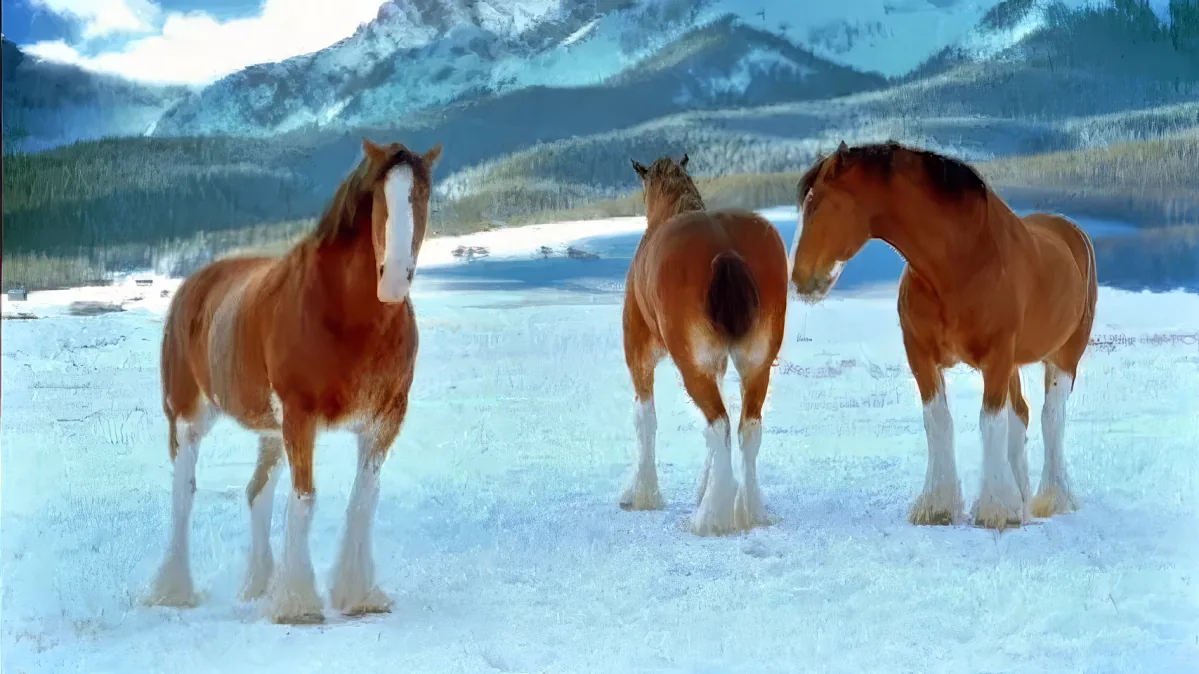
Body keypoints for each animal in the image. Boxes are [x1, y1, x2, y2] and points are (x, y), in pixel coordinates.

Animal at [143, 138, 443, 624]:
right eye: (378, 199)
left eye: (423, 193)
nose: (395, 277)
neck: (346, 317)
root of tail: (195, 283)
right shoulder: (301, 419)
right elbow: (304, 500)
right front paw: (299, 605)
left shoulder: (384, 420)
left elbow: (363, 501)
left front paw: (358, 596)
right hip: (189, 417)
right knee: (183, 494)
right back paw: (175, 590)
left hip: (270, 430)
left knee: (257, 494)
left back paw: (259, 586)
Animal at [622, 154, 789, 536]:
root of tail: (724, 249)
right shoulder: (720, 362)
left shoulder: (639, 355)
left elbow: (644, 419)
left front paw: (641, 493)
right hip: (757, 363)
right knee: (747, 427)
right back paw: (749, 510)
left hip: (691, 365)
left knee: (719, 424)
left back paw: (710, 517)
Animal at [789, 140, 1097, 530]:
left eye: (816, 204)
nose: (799, 279)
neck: (959, 263)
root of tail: (1071, 231)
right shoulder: (920, 354)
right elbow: (938, 420)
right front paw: (939, 505)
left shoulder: (997, 356)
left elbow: (990, 422)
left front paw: (995, 509)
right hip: (1015, 365)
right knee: (1021, 416)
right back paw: (1023, 499)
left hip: (1064, 355)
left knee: (1051, 418)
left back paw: (1053, 498)